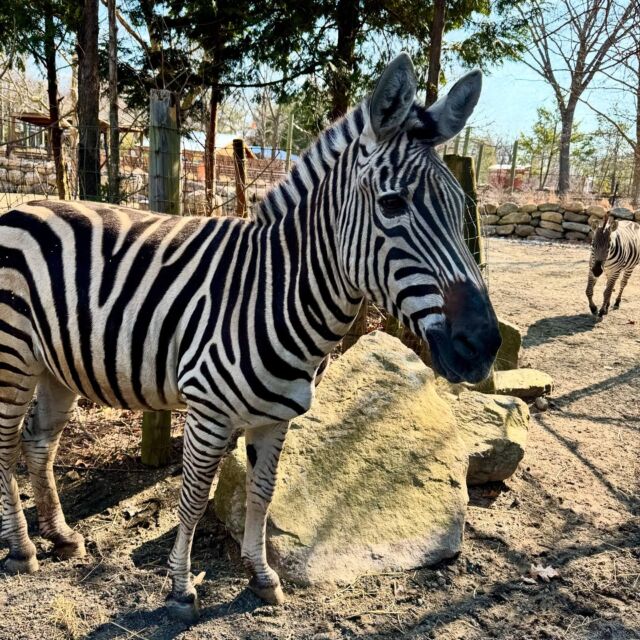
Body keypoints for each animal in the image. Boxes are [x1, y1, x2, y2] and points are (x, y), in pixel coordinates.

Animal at [0, 52, 500, 624]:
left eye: (460, 205)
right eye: (393, 205)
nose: (485, 346)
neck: (280, 291)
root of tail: (23, 205)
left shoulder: (276, 417)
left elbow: (263, 494)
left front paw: (262, 578)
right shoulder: (208, 411)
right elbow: (193, 499)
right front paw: (180, 590)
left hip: (54, 366)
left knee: (38, 444)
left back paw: (60, 536)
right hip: (12, 357)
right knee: (6, 449)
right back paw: (22, 549)